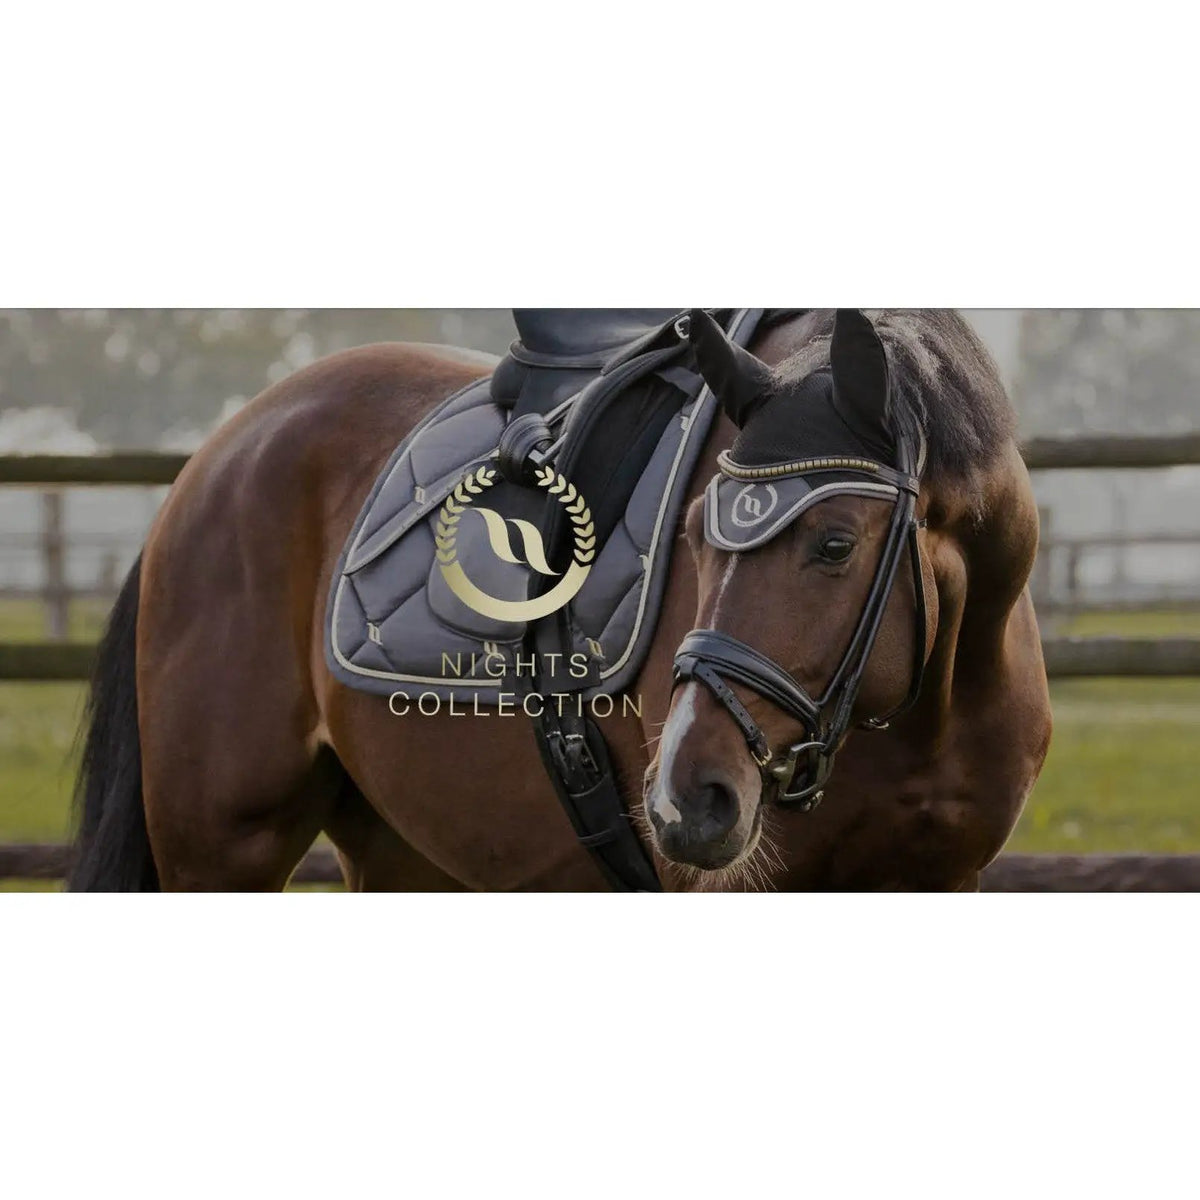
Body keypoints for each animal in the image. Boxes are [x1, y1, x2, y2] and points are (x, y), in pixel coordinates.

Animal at [69, 310, 1051, 891]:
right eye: (693, 537)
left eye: (836, 545)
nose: (687, 801)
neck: (926, 703)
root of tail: (216, 458)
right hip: (221, 842)